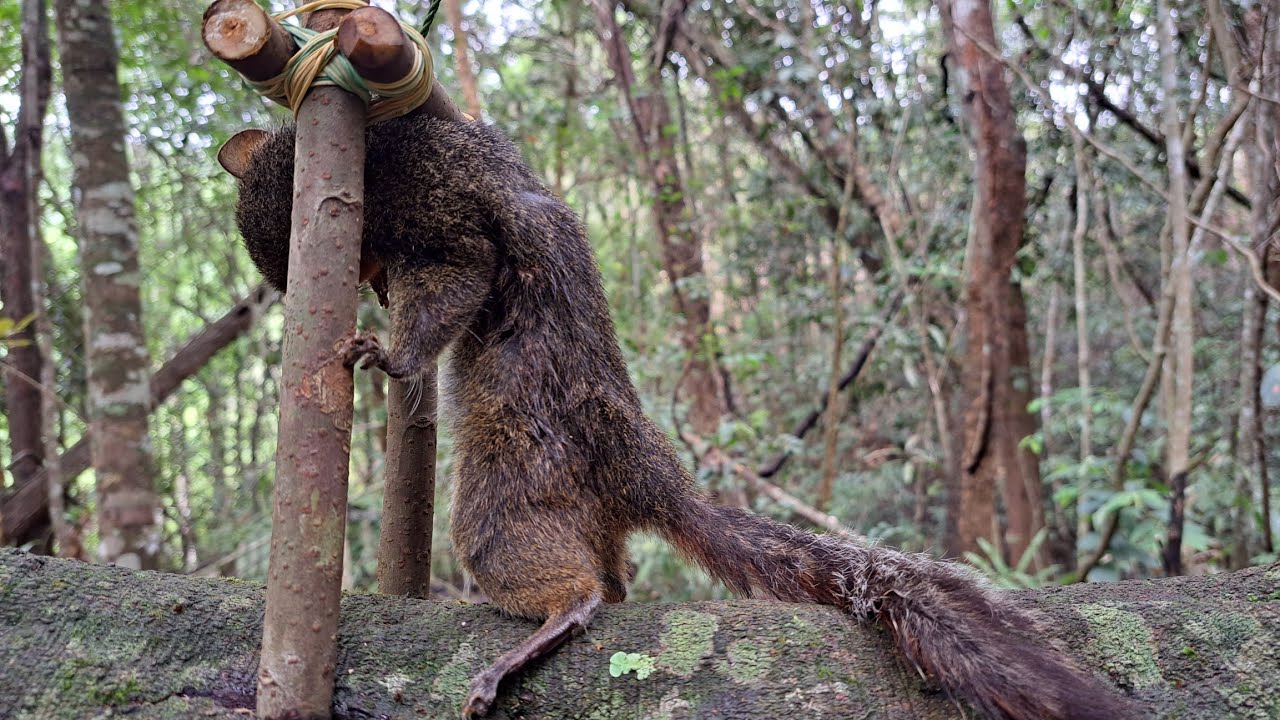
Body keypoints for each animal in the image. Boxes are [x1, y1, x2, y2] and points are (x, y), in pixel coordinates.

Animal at [219, 114, 1138, 720]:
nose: (368, 285)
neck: (384, 156)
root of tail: (650, 475)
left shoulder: (441, 218)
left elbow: (460, 278)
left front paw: (388, 355)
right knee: (617, 583)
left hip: (508, 490)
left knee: (578, 588)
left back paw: (549, 622)